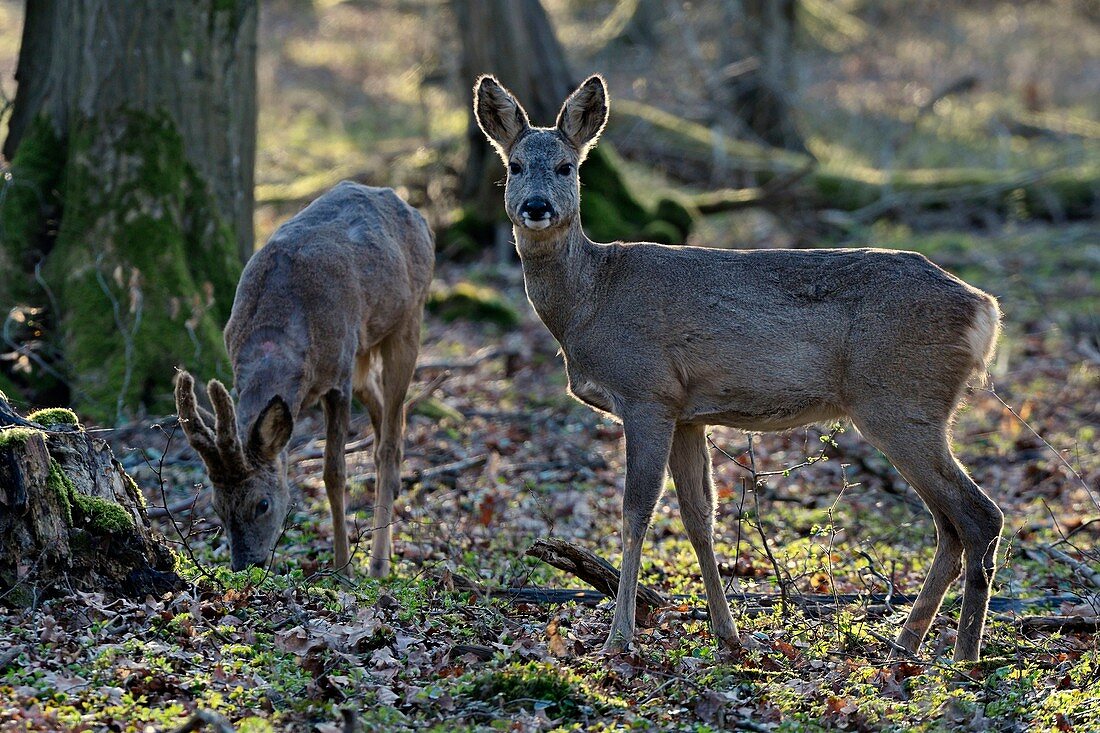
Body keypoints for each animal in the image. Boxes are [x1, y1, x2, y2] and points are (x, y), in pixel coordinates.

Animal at [173, 181, 431, 576]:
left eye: (262, 504)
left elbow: (333, 473)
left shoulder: (338, 377)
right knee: (387, 414)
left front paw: (342, 569)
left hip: (408, 318)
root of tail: (412, 211)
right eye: (217, 507)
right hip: (362, 348)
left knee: (388, 438)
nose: (245, 564)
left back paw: (378, 564)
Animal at [475, 75, 1007, 660]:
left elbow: (636, 510)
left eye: (567, 166)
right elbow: (698, 517)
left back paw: (963, 654)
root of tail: (985, 308)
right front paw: (727, 631)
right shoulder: (686, 411)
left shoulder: (646, 392)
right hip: (910, 408)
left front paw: (619, 637)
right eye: (515, 165)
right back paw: (908, 642)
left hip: (900, 401)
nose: (537, 206)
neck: (589, 300)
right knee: (950, 525)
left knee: (979, 515)